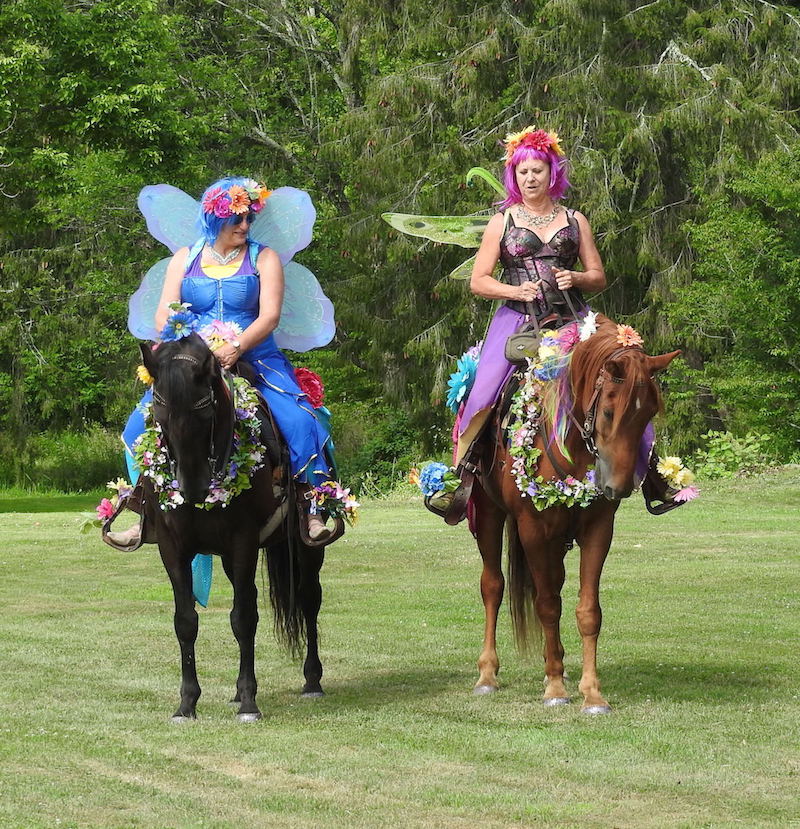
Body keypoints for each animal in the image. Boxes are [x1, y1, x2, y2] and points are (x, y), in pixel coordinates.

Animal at [134, 333, 328, 722]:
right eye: (159, 412)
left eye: (205, 409)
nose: (192, 488)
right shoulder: (172, 548)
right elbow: (185, 621)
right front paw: (187, 704)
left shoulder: (243, 541)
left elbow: (243, 618)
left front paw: (250, 702)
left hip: (305, 548)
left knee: (308, 599)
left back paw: (312, 680)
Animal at [469, 314, 679, 713]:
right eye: (610, 411)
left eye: (648, 414)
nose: (617, 487)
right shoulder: (533, 529)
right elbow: (547, 604)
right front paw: (554, 688)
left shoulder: (598, 529)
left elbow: (587, 610)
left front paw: (591, 693)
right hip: (488, 514)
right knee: (493, 586)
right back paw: (488, 674)